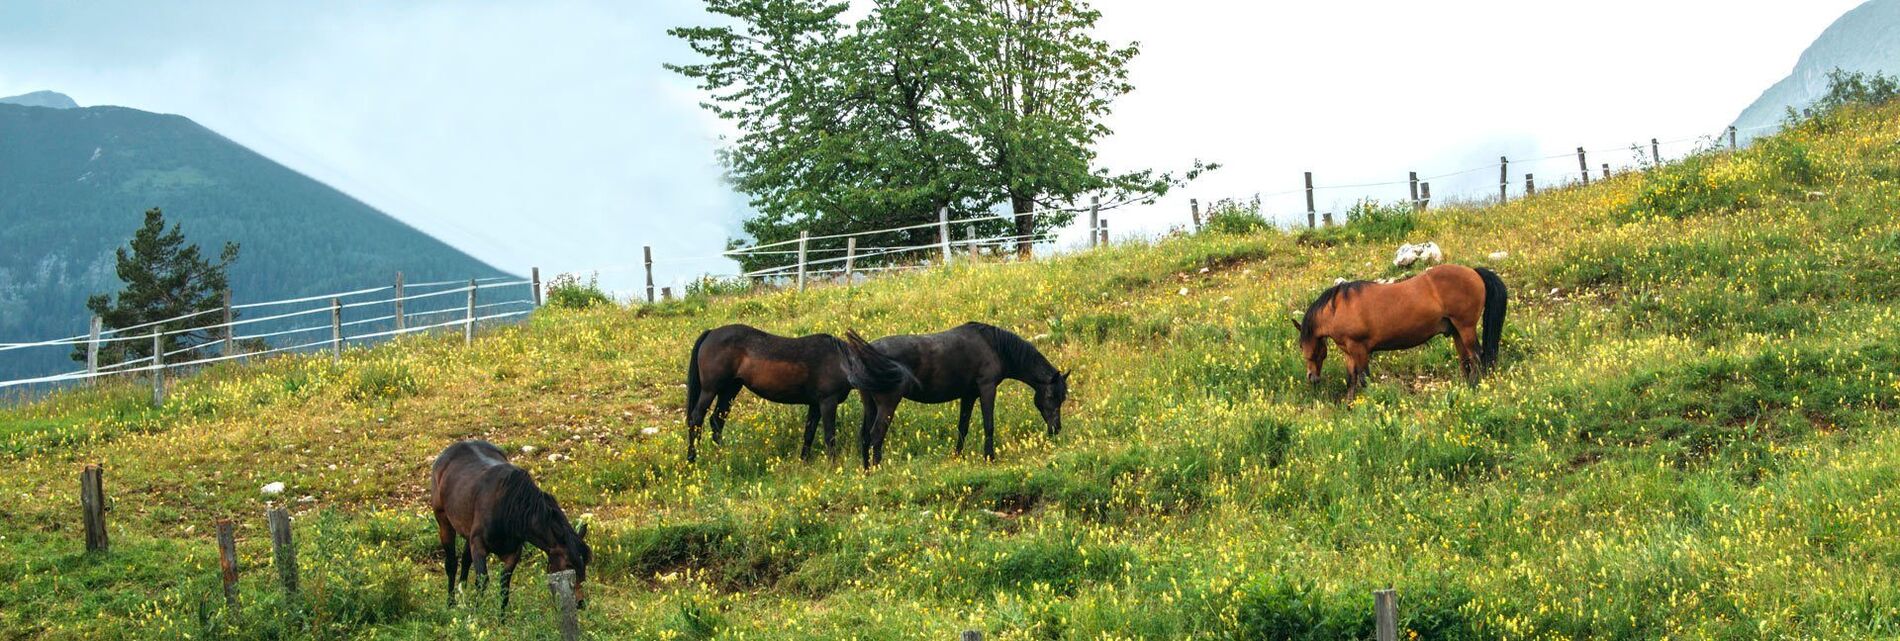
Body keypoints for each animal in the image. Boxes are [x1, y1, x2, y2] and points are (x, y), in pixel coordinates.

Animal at [430, 439, 591, 614]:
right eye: (569, 565)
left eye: (585, 565)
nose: (581, 603)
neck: (511, 508)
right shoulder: (479, 545)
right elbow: (481, 581)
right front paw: (475, 616)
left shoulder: (512, 553)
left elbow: (504, 587)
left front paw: (500, 619)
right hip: (443, 521)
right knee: (451, 563)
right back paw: (451, 603)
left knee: (466, 559)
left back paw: (461, 599)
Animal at [685, 324, 908, 462]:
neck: (841, 362)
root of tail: (711, 333)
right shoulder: (827, 402)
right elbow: (829, 435)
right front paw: (833, 464)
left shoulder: (815, 404)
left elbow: (809, 433)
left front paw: (804, 461)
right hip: (710, 390)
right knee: (696, 419)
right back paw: (692, 458)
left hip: (730, 389)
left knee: (716, 421)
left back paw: (722, 455)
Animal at [839, 322, 1069, 468]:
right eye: (1052, 397)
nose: (1056, 428)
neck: (993, 345)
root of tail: (865, 353)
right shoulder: (987, 389)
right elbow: (989, 425)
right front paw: (989, 457)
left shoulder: (969, 395)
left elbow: (962, 427)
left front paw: (958, 456)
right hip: (887, 404)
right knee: (877, 434)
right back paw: (879, 469)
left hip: (870, 405)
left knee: (865, 435)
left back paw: (867, 471)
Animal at [1292, 263, 1507, 401]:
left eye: (1302, 345)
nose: (1311, 377)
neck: (1339, 308)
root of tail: (1473, 272)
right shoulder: (1349, 352)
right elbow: (1351, 379)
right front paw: (1349, 405)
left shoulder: (1359, 349)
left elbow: (1363, 379)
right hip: (1456, 331)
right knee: (1465, 360)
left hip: (1466, 327)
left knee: (1476, 356)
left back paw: (1474, 386)